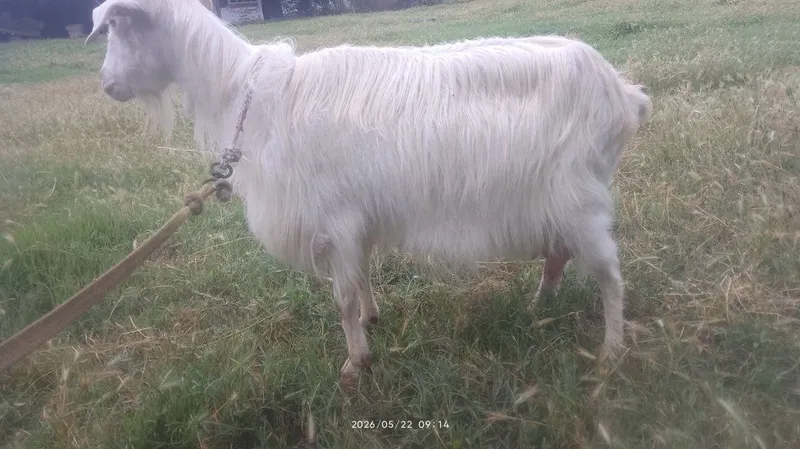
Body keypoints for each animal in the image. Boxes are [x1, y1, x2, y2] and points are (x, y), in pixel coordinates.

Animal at [86, 0, 652, 388]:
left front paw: (354, 364)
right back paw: (538, 307)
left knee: (610, 274)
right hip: (555, 199)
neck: (247, 93)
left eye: (117, 26)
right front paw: (370, 320)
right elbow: (359, 277)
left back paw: (610, 350)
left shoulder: (333, 218)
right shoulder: (354, 218)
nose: (106, 84)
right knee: (559, 253)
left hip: (578, 195)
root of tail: (623, 93)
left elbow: (340, 294)